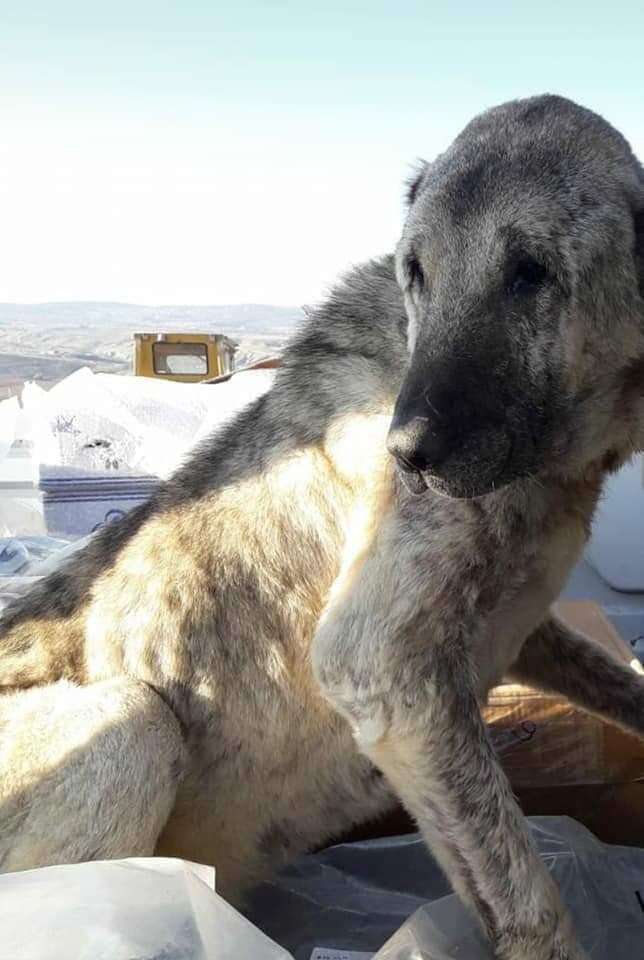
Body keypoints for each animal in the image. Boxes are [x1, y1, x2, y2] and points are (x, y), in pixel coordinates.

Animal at [1, 92, 644, 960]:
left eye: (530, 273)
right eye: (416, 273)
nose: (407, 454)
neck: (558, 466)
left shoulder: (519, 626)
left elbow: (616, 682)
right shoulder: (382, 671)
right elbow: (530, 903)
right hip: (135, 725)